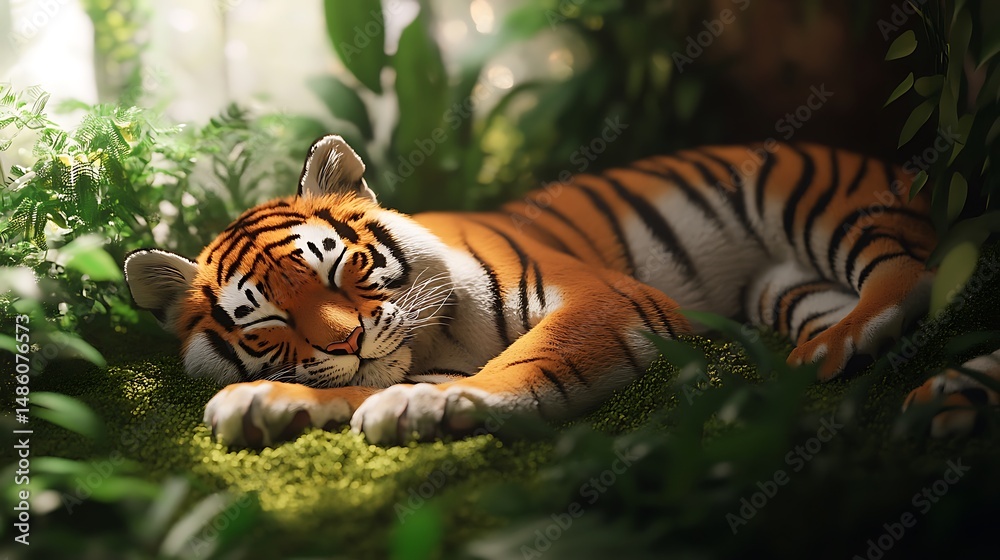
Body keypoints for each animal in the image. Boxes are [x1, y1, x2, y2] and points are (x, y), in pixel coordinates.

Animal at [123, 135, 1000, 446]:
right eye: (268, 322)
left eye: (339, 268)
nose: (346, 339)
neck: (437, 337)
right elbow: (362, 388)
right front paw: (266, 402)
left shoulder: (605, 301)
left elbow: (529, 363)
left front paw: (453, 404)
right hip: (784, 285)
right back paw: (838, 353)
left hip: (817, 202)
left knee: (912, 269)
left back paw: (854, 350)